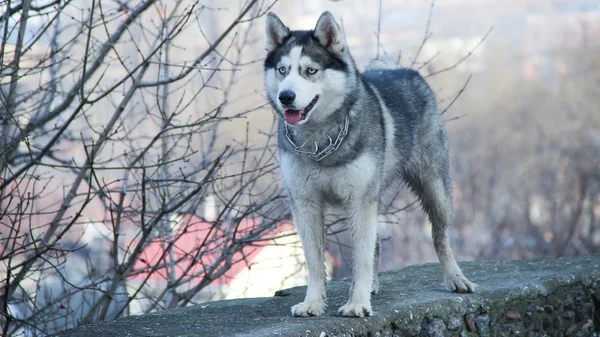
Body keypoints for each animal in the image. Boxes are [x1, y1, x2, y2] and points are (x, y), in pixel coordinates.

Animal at [262, 9, 474, 316]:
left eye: (310, 70)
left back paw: (455, 277)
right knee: (375, 244)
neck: (320, 140)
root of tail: (401, 70)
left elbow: (360, 258)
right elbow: (314, 261)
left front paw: (357, 304)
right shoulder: (304, 203)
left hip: (435, 189)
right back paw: (373, 286)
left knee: (439, 236)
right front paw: (313, 302)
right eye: (282, 70)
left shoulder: (360, 200)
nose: (285, 97)